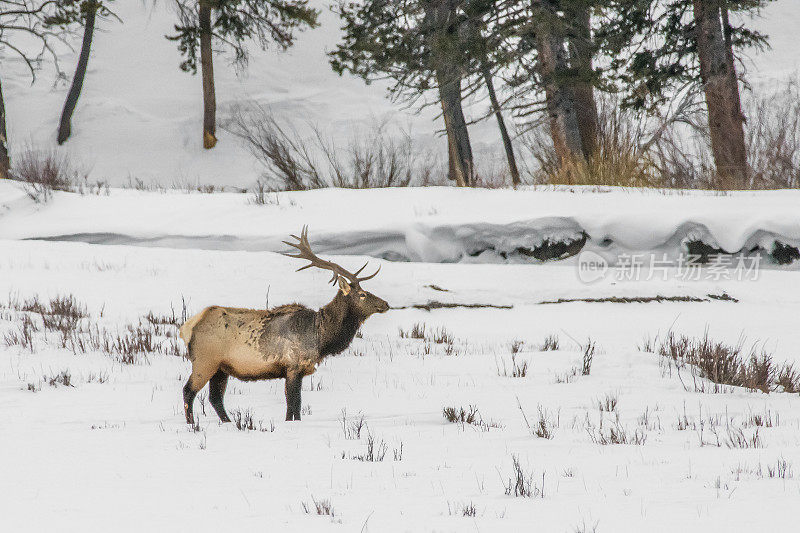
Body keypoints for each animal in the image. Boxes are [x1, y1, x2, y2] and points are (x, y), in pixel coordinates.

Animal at [177, 228, 388, 424]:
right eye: (362, 294)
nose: (386, 304)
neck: (321, 338)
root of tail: (187, 327)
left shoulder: (297, 370)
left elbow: (294, 404)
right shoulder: (293, 366)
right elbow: (294, 403)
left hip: (221, 368)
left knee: (215, 398)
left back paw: (229, 423)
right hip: (205, 361)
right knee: (189, 391)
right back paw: (192, 424)